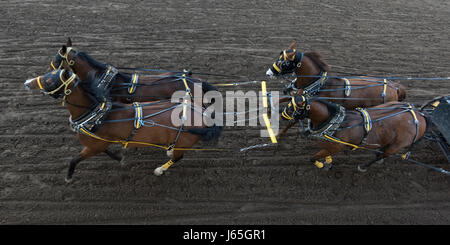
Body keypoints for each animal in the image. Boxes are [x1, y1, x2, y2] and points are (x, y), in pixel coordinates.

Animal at [23, 68, 224, 181]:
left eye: (50, 79)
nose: (27, 82)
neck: (99, 115)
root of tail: (203, 115)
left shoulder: (94, 146)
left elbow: (75, 159)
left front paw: (68, 177)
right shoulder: (99, 143)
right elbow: (108, 152)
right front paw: (120, 158)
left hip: (185, 142)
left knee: (178, 157)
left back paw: (160, 169)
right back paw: (168, 149)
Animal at [280, 94, 428, 171]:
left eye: (293, 107)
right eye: (289, 103)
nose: (282, 115)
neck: (335, 122)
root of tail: (419, 116)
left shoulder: (336, 146)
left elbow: (313, 158)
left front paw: (321, 164)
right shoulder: (328, 143)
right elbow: (323, 153)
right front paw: (327, 162)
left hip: (397, 145)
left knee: (383, 154)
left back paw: (364, 166)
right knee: (381, 152)